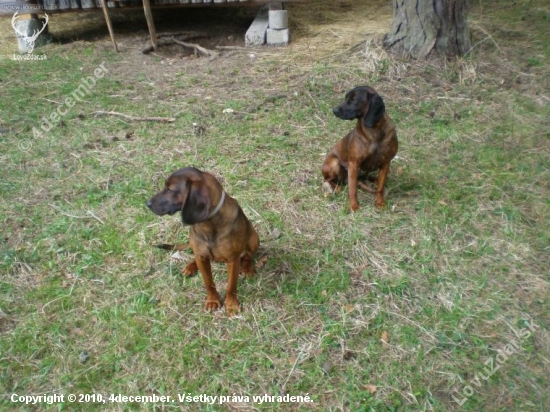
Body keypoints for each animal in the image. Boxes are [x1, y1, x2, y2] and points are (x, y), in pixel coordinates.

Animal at [146, 167, 260, 316]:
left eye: (170, 189)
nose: (147, 204)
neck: (208, 224)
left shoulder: (232, 261)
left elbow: (231, 286)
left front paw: (231, 305)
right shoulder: (202, 257)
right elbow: (208, 282)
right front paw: (212, 301)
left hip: (254, 238)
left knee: (247, 256)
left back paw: (247, 268)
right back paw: (191, 266)